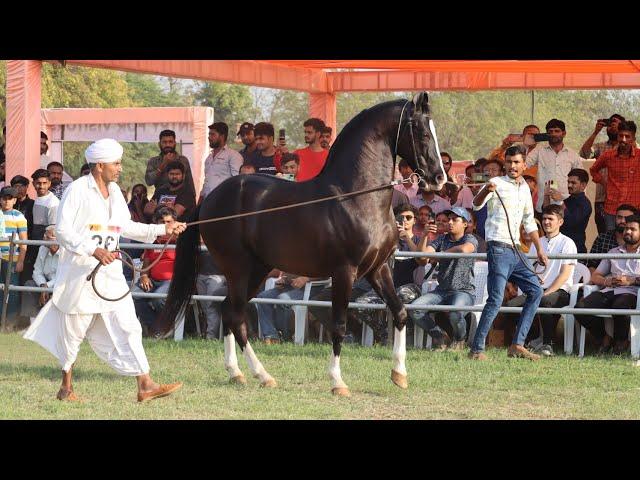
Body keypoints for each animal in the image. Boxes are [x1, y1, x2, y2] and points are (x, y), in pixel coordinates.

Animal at [156, 92, 444, 396]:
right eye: (423, 133)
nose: (439, 178)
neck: (356, 196)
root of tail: (209, 200)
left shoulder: (378, 269)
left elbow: (400, 313)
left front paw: (399, 375)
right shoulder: (345, 271)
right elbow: (339, 325)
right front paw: (338, 382)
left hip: (257, 271)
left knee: (227, 310)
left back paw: (239, 373)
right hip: (239, 269)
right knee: (234, 315)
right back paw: (260, 374)